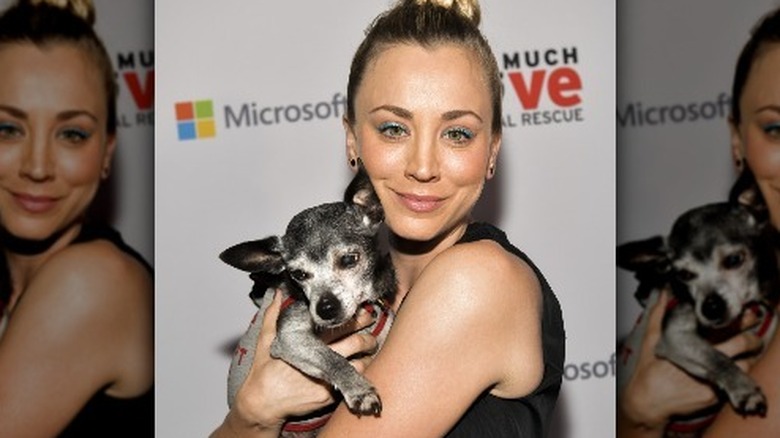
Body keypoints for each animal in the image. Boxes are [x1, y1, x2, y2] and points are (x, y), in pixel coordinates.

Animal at [219, 166, 396, 432]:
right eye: (298, 274)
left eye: (349, 259)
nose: (325, 309)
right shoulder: (289, 339)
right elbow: (332, 358)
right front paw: (358, 389)